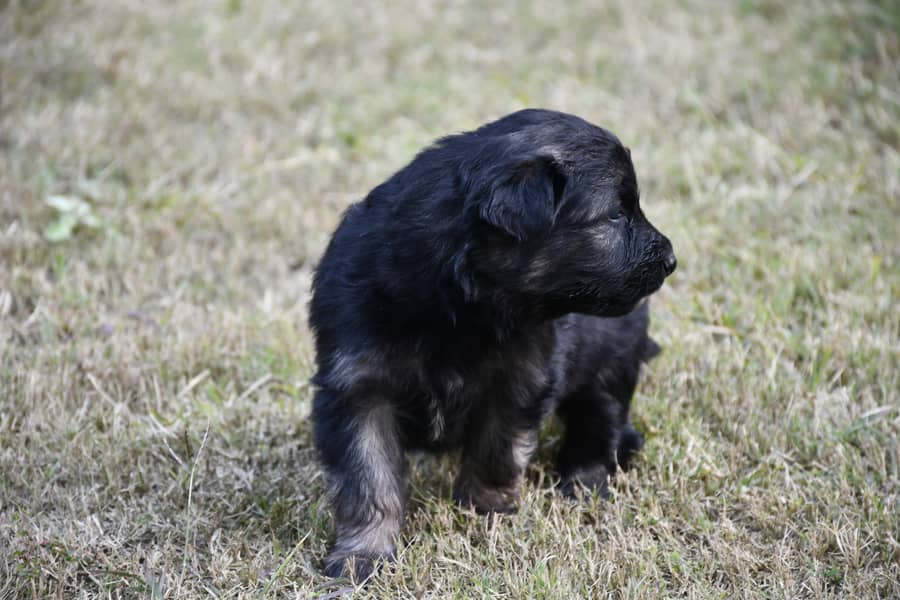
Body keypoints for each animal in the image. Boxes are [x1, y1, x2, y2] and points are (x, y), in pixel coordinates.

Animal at [310, 108, 676, 576]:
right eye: (615, 214)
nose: (671, 259)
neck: (456, 307)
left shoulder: (518, 379)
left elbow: (496, 450)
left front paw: (484, 512)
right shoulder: (357, 388)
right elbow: (368, 478)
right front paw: (363, 555)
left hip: (612, 356)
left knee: (600, 416)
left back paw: (586, 478)